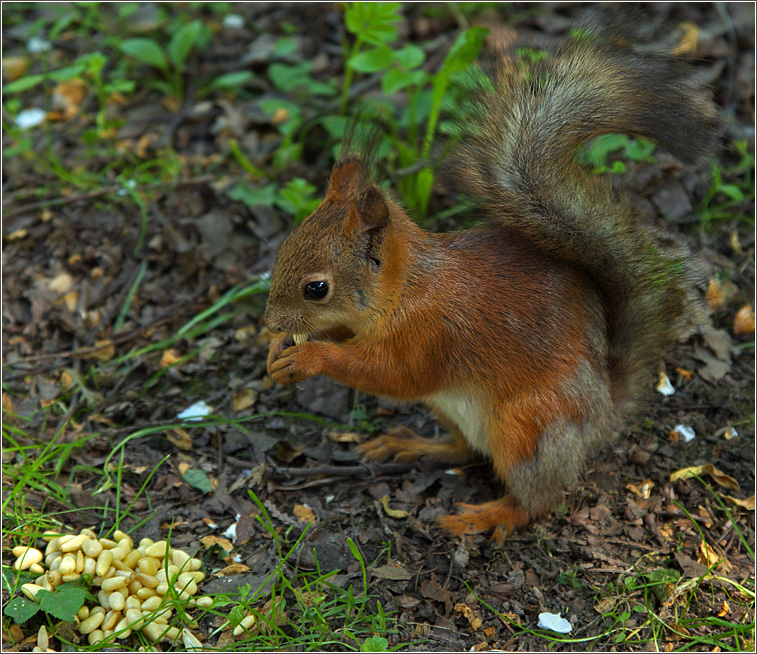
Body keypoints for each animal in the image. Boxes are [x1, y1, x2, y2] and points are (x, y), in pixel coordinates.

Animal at [262, 19, 716, 544]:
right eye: (282, 248)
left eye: (316, 288)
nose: (269, 321)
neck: (403, 292)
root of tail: (603, 412)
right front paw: (279, 349)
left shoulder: (431, 334)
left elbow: (393, 375)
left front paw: (308, 356)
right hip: (452, 410)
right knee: (465, 451)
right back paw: (414, 446)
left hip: (528, 427)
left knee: (537, 499)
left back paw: (485, 516)